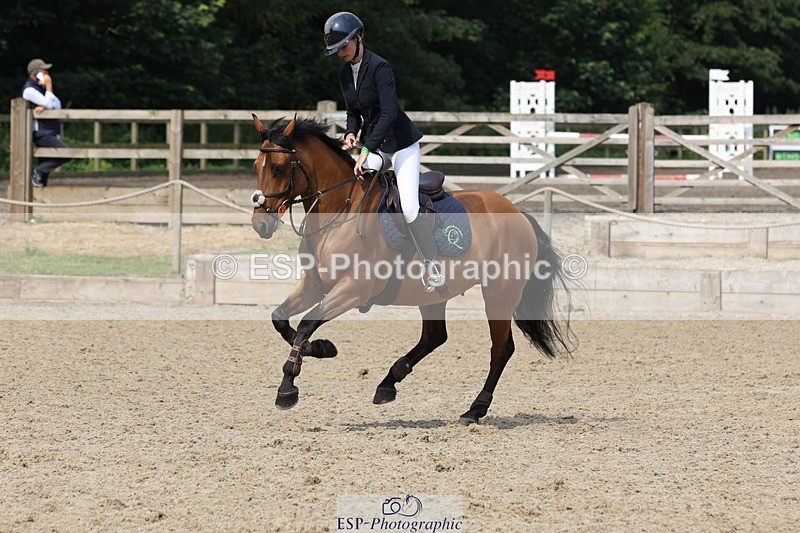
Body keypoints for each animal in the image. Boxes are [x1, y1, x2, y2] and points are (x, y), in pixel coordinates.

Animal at [249, 114, 574, 424]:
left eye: (278, 168)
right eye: (256, 166)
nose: (260, 224)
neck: (339, 210)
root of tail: (517, 211)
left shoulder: (353, 290)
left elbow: (307, 323)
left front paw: (288, 387)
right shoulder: (315, 284)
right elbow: (280, 318)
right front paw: (321, 348)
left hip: (499, 293)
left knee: (500, 349)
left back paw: (475, 409)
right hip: (433, 294)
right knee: (435, 336)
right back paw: (388, 383)